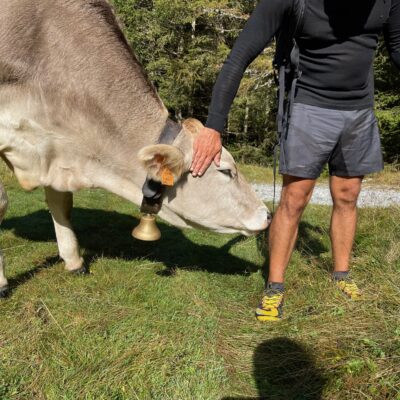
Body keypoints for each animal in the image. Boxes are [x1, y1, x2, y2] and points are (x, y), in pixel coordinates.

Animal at [0, 0, 272, 296]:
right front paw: (2, 282)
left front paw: (74, 261)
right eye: (226, 171)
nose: (268, 214)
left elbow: (61, 202)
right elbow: (3, 203)